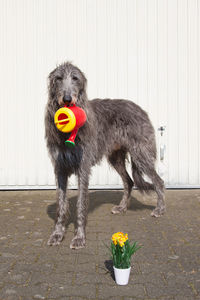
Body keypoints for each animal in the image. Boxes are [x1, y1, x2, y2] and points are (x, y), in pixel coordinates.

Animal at [45, 61, 166, 248]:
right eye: (58, 78)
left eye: (75, 78)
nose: (67, 99)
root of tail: (140, 109)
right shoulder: (60, 168)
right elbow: (61, 203)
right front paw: (57, 234)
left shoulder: (83, 166)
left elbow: (80, 203)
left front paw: (79, 237)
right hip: (115, 157)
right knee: (129, 181)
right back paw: (122, 207)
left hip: (141, 154)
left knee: (159, 181)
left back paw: (159, 209)